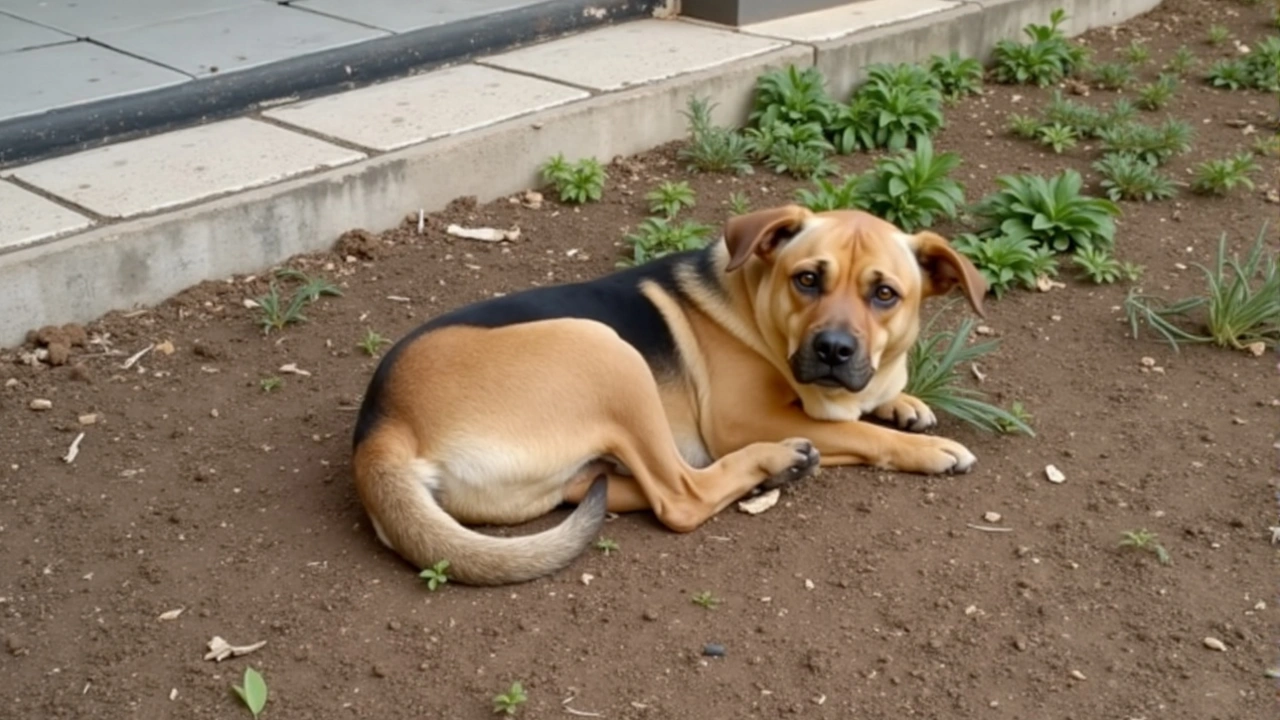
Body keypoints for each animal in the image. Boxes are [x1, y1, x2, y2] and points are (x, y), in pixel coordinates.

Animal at [350, 204, 988, 586]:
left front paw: (906, 403)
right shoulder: (744, 418)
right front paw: (926, 449)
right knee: (681, 497)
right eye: (807, 279)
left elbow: (872, 401)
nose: (833, 349)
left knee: (606, 488)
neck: (755, 303)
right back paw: (775, 462)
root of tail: (381, 428)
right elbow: (854, 429)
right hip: (607, 352)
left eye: (885, 294)